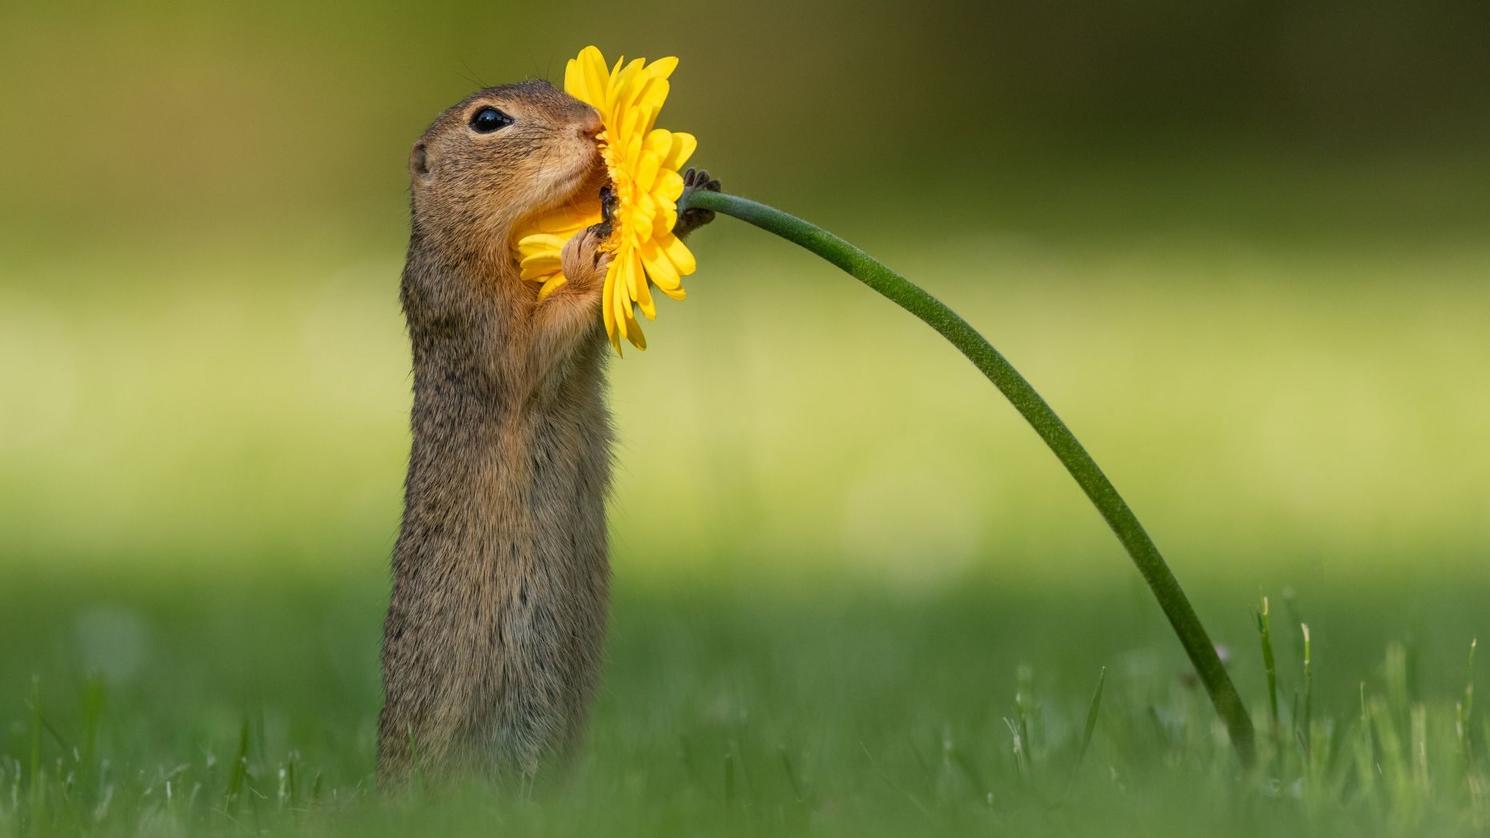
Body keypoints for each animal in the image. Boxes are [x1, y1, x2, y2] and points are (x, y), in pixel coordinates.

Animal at [378, 78, 715, 775]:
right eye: (487, 120)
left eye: (552, 86)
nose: (593, 125)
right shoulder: (472, 312)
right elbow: (534, 344)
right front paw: (590, 252)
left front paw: (688, 195)